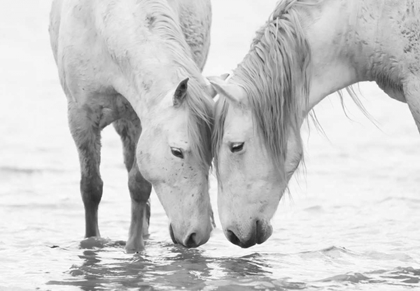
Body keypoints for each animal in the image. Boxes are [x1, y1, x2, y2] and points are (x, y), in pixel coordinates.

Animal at [50, 0, 217, 253]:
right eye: (176, 151)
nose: (198, 234)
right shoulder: (81, 118)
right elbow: (91, 188)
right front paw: (92, 241)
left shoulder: (138, 118)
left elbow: (138, 185)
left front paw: (134, 247)